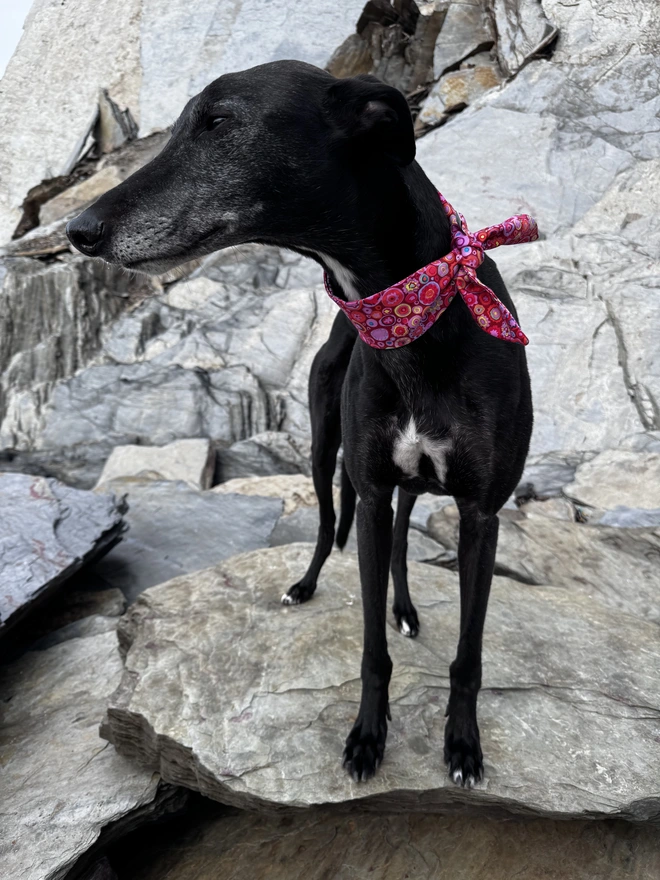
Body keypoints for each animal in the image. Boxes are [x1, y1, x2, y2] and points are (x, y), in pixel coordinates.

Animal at [65, 63, 532, 792]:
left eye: (219, 121)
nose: (77, 231)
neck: (420, 315)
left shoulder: (482, 514)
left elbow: (468, 655)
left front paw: (462, 745)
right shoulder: (368, 491)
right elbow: (370, 648)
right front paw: (367, 738)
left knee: (402, 539)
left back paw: (406, 609)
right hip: (324, 450)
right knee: (325, 526)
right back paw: (306, 585)